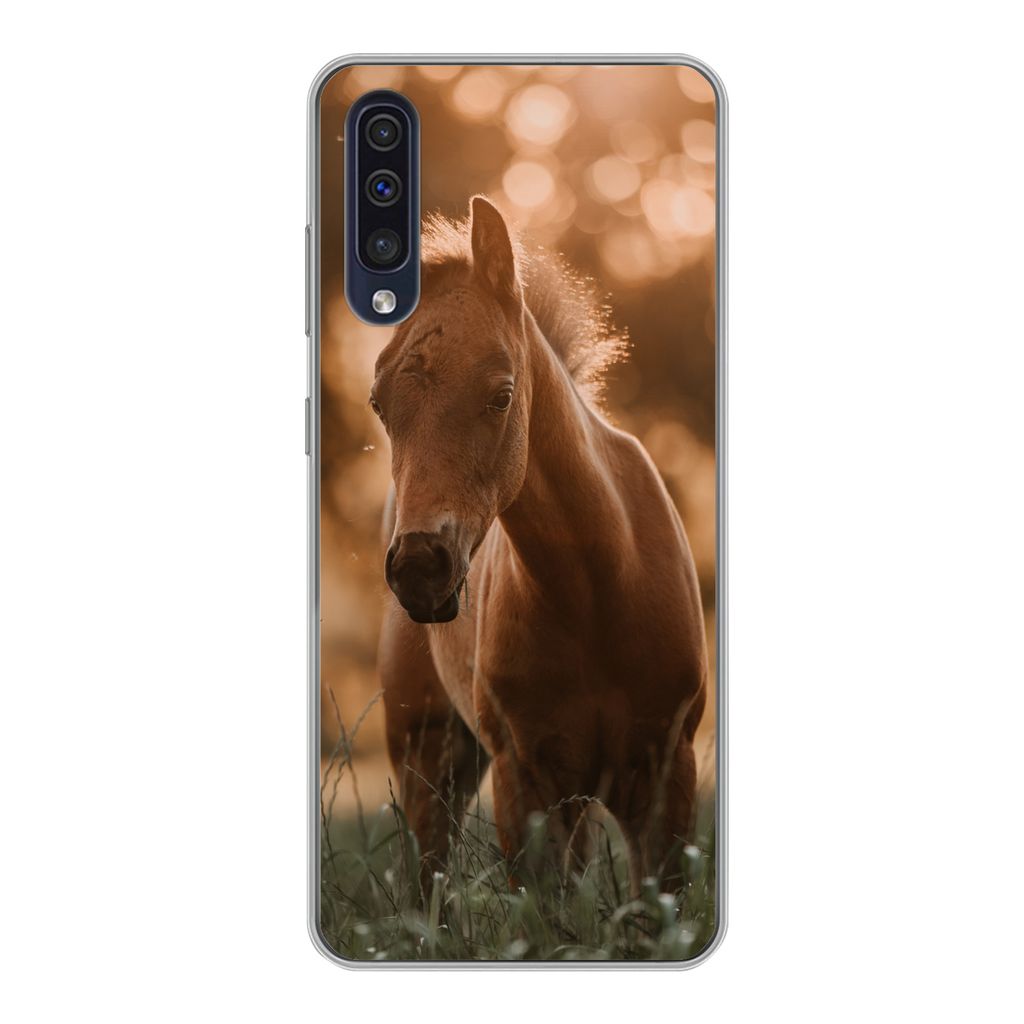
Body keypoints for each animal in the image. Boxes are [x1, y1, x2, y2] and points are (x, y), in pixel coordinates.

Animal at [372, 196, 707, 890]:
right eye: (378, 405)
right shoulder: (523, 782)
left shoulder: (667, 777)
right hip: (425, 753)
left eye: (502, 396)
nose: (418, 568)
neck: (597, 588)